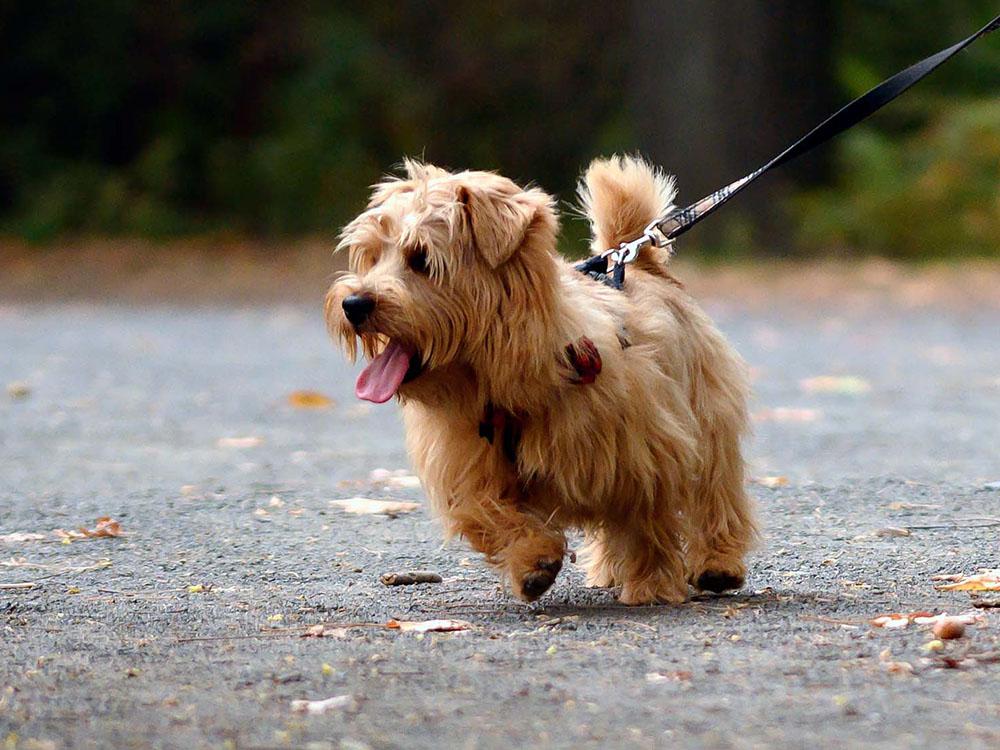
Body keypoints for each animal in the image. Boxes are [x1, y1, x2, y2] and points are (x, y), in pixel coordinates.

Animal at [328, 154, 756, 604]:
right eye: (371, 257)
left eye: (422, 259)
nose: (353, 304)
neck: (500, 381)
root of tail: (638, 262)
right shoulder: (468, 467)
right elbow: (488, 512)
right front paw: (534, 561)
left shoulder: (645, 452)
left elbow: (646, 523)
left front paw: (651, 584)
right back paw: (607, 571)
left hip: (709, 422)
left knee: (716, 497)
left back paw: (717, 564)